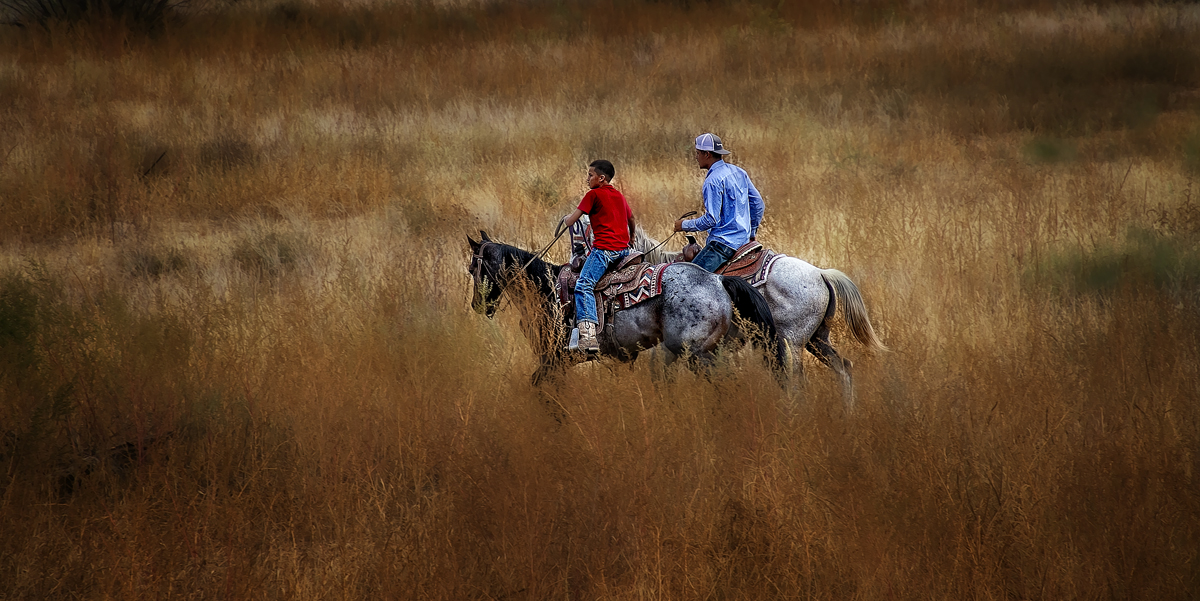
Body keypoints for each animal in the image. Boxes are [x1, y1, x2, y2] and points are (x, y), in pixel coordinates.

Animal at [465, 229, 787, 383]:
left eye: (472, 268)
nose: (478, 305)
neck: (546, 291)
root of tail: (718, 280)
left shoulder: (553, 359)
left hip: (696, 353)